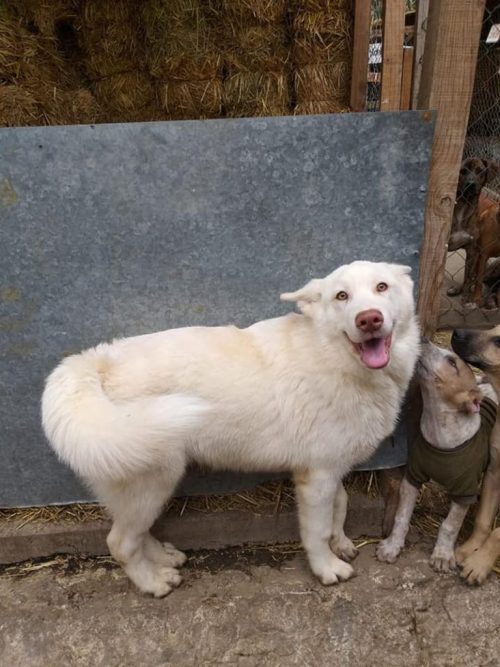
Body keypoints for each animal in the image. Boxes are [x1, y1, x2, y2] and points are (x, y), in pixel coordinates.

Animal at [42, 260, 418, 596]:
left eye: (381, 287)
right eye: (342, 296)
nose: (369, 319)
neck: (332, 356)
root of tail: (97, 362)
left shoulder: (332, 468)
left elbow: (341, 506)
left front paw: (341, 543)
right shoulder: (316, 477)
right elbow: (318, 531)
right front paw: (326, 568)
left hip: (147, 486)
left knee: (135, 533)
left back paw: (162, 558)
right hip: (153, 481)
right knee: (119, 542)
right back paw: (153, 583)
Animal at [448, 159, 498, 308]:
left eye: (480, 171)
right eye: (463, 171)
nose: (471, 184)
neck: (464, 207)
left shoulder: (472, 252)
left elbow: (468, 278)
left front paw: (465, 299)